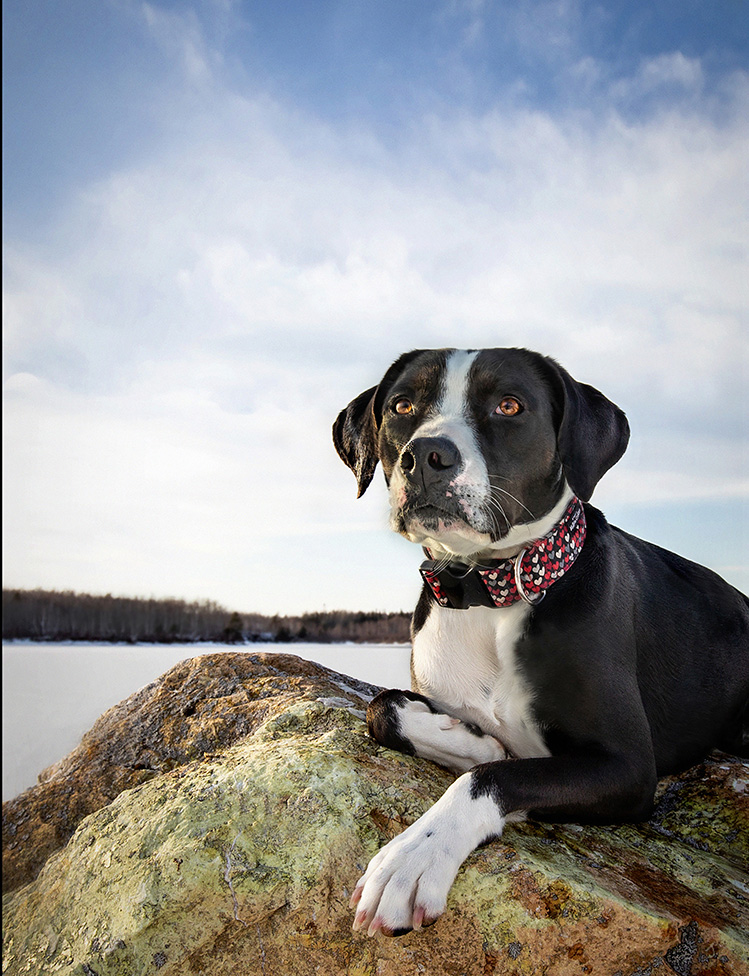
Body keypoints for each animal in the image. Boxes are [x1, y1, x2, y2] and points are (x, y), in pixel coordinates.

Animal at [334, 348, 748, 936]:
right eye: (402, 405)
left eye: (509, 405)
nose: (427, 456)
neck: (491, 594)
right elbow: (381, 708)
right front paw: (471, 740)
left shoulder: (626, 768)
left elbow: (489, 778)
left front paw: (415, 855)